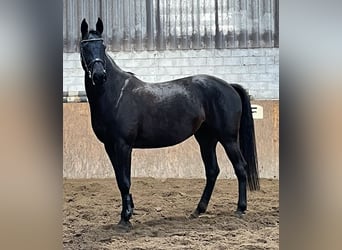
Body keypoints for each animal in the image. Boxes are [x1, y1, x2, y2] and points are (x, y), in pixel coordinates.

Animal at [79, 18, 258, 229]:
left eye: (103, 46)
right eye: (85, 47)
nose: (99, 76)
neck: (116, 94)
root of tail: (229, 86)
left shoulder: (123, 145)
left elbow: (124, 180)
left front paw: (125, 218)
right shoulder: (109, 146)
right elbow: (119, 179)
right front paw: (129, 210)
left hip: (228, 138)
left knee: (240, 167)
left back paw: (240, 208)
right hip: (206, 138)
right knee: (213, 170)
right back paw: (198, 210)